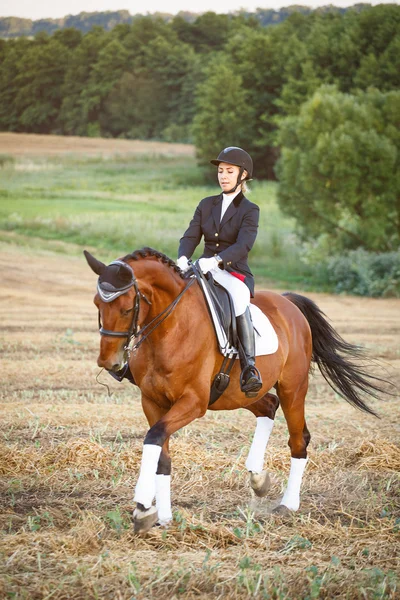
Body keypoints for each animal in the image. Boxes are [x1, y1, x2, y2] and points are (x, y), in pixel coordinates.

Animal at [84, 246, 388, 532]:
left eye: (126, 308)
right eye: (97, 303)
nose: (109, 362)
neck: (170, 328)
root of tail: (287, 302)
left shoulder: (193, 403)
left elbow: (155, 437)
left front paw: (143, 507)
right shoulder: (151, 402)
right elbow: (161, 453)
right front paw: (162, 517)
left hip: (293, 388)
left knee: (298, 439)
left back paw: (288, 504)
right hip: (236, 393)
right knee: (268, 406)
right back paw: (258, 477)